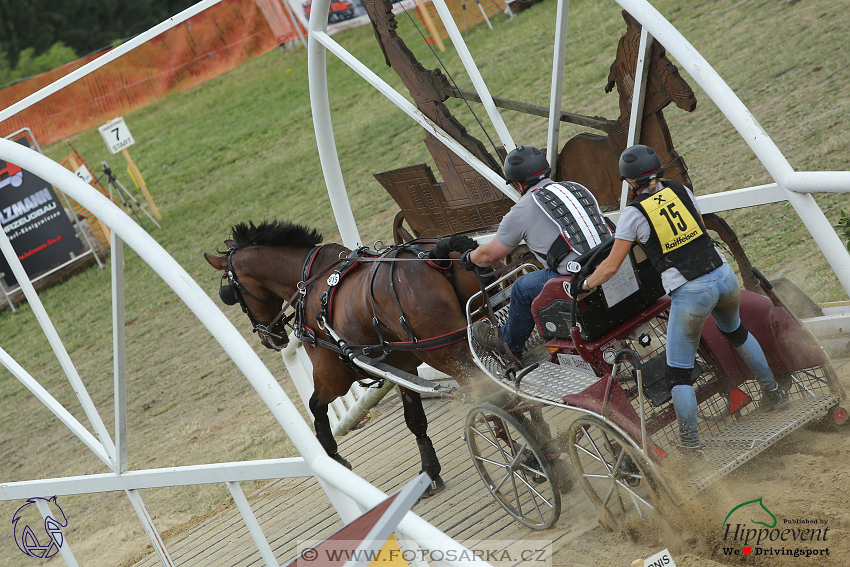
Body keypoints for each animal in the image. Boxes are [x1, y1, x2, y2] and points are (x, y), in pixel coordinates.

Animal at [204, 220, 484, 494]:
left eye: (233, 294)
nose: (270, 338)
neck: (310, 280)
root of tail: (436, 256)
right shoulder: (405, 369)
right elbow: (415, 419)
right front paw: (429, 471)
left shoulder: (331, 374)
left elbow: (315, 406)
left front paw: (333, 458)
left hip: (445, 352)